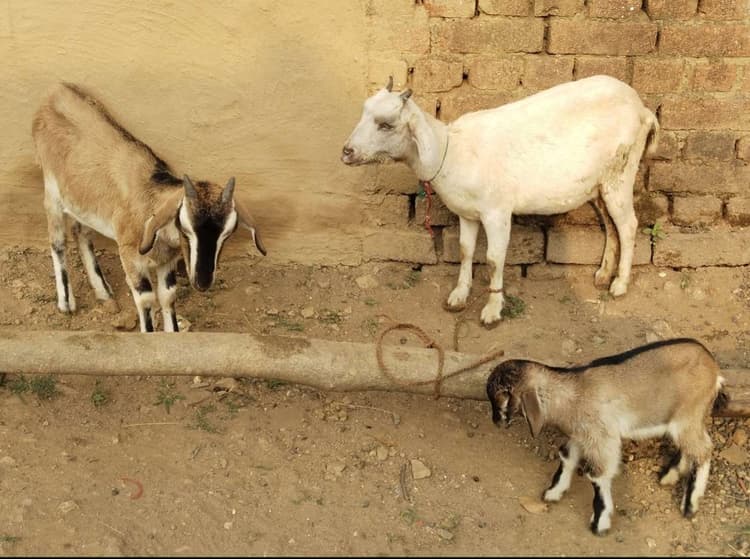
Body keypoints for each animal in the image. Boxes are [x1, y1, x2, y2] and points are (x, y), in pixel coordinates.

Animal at [32, 82, 266, 332]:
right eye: (185, 227)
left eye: (227, 233)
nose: (202, 282)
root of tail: (56, 90)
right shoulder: (131, 257)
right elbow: (145, 299)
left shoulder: (167, 262)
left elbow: (168, 296)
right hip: (51, 189)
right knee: (57, 240)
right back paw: (66, 303)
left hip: (83, 200)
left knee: (81, 231)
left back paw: (103, 291)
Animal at [341, 76, 659, 326]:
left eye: (387, 124)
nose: (347, 151)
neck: (451, 150)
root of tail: (643, 110)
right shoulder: (467, 213)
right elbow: (465, 250)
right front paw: (459, 295)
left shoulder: (497, 213)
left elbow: (494, 259)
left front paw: (493, 309)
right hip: (599, 185)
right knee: (610, 225)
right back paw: (604, 274)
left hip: (621, 174)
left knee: (628, 226)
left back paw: (620, 284)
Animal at [485, 338, 728, 535]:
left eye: (503, 397)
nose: (496, 421)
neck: (573, 394)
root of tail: (713, 368)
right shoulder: (582, 435)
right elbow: (566, 456)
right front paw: (554, 492)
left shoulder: (601, 438)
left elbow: (597, 475)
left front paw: (599, 523)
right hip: (686, 420)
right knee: (691, 447)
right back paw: (670, 475)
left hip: (688, 415)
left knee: (704, 449)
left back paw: (690, 504)